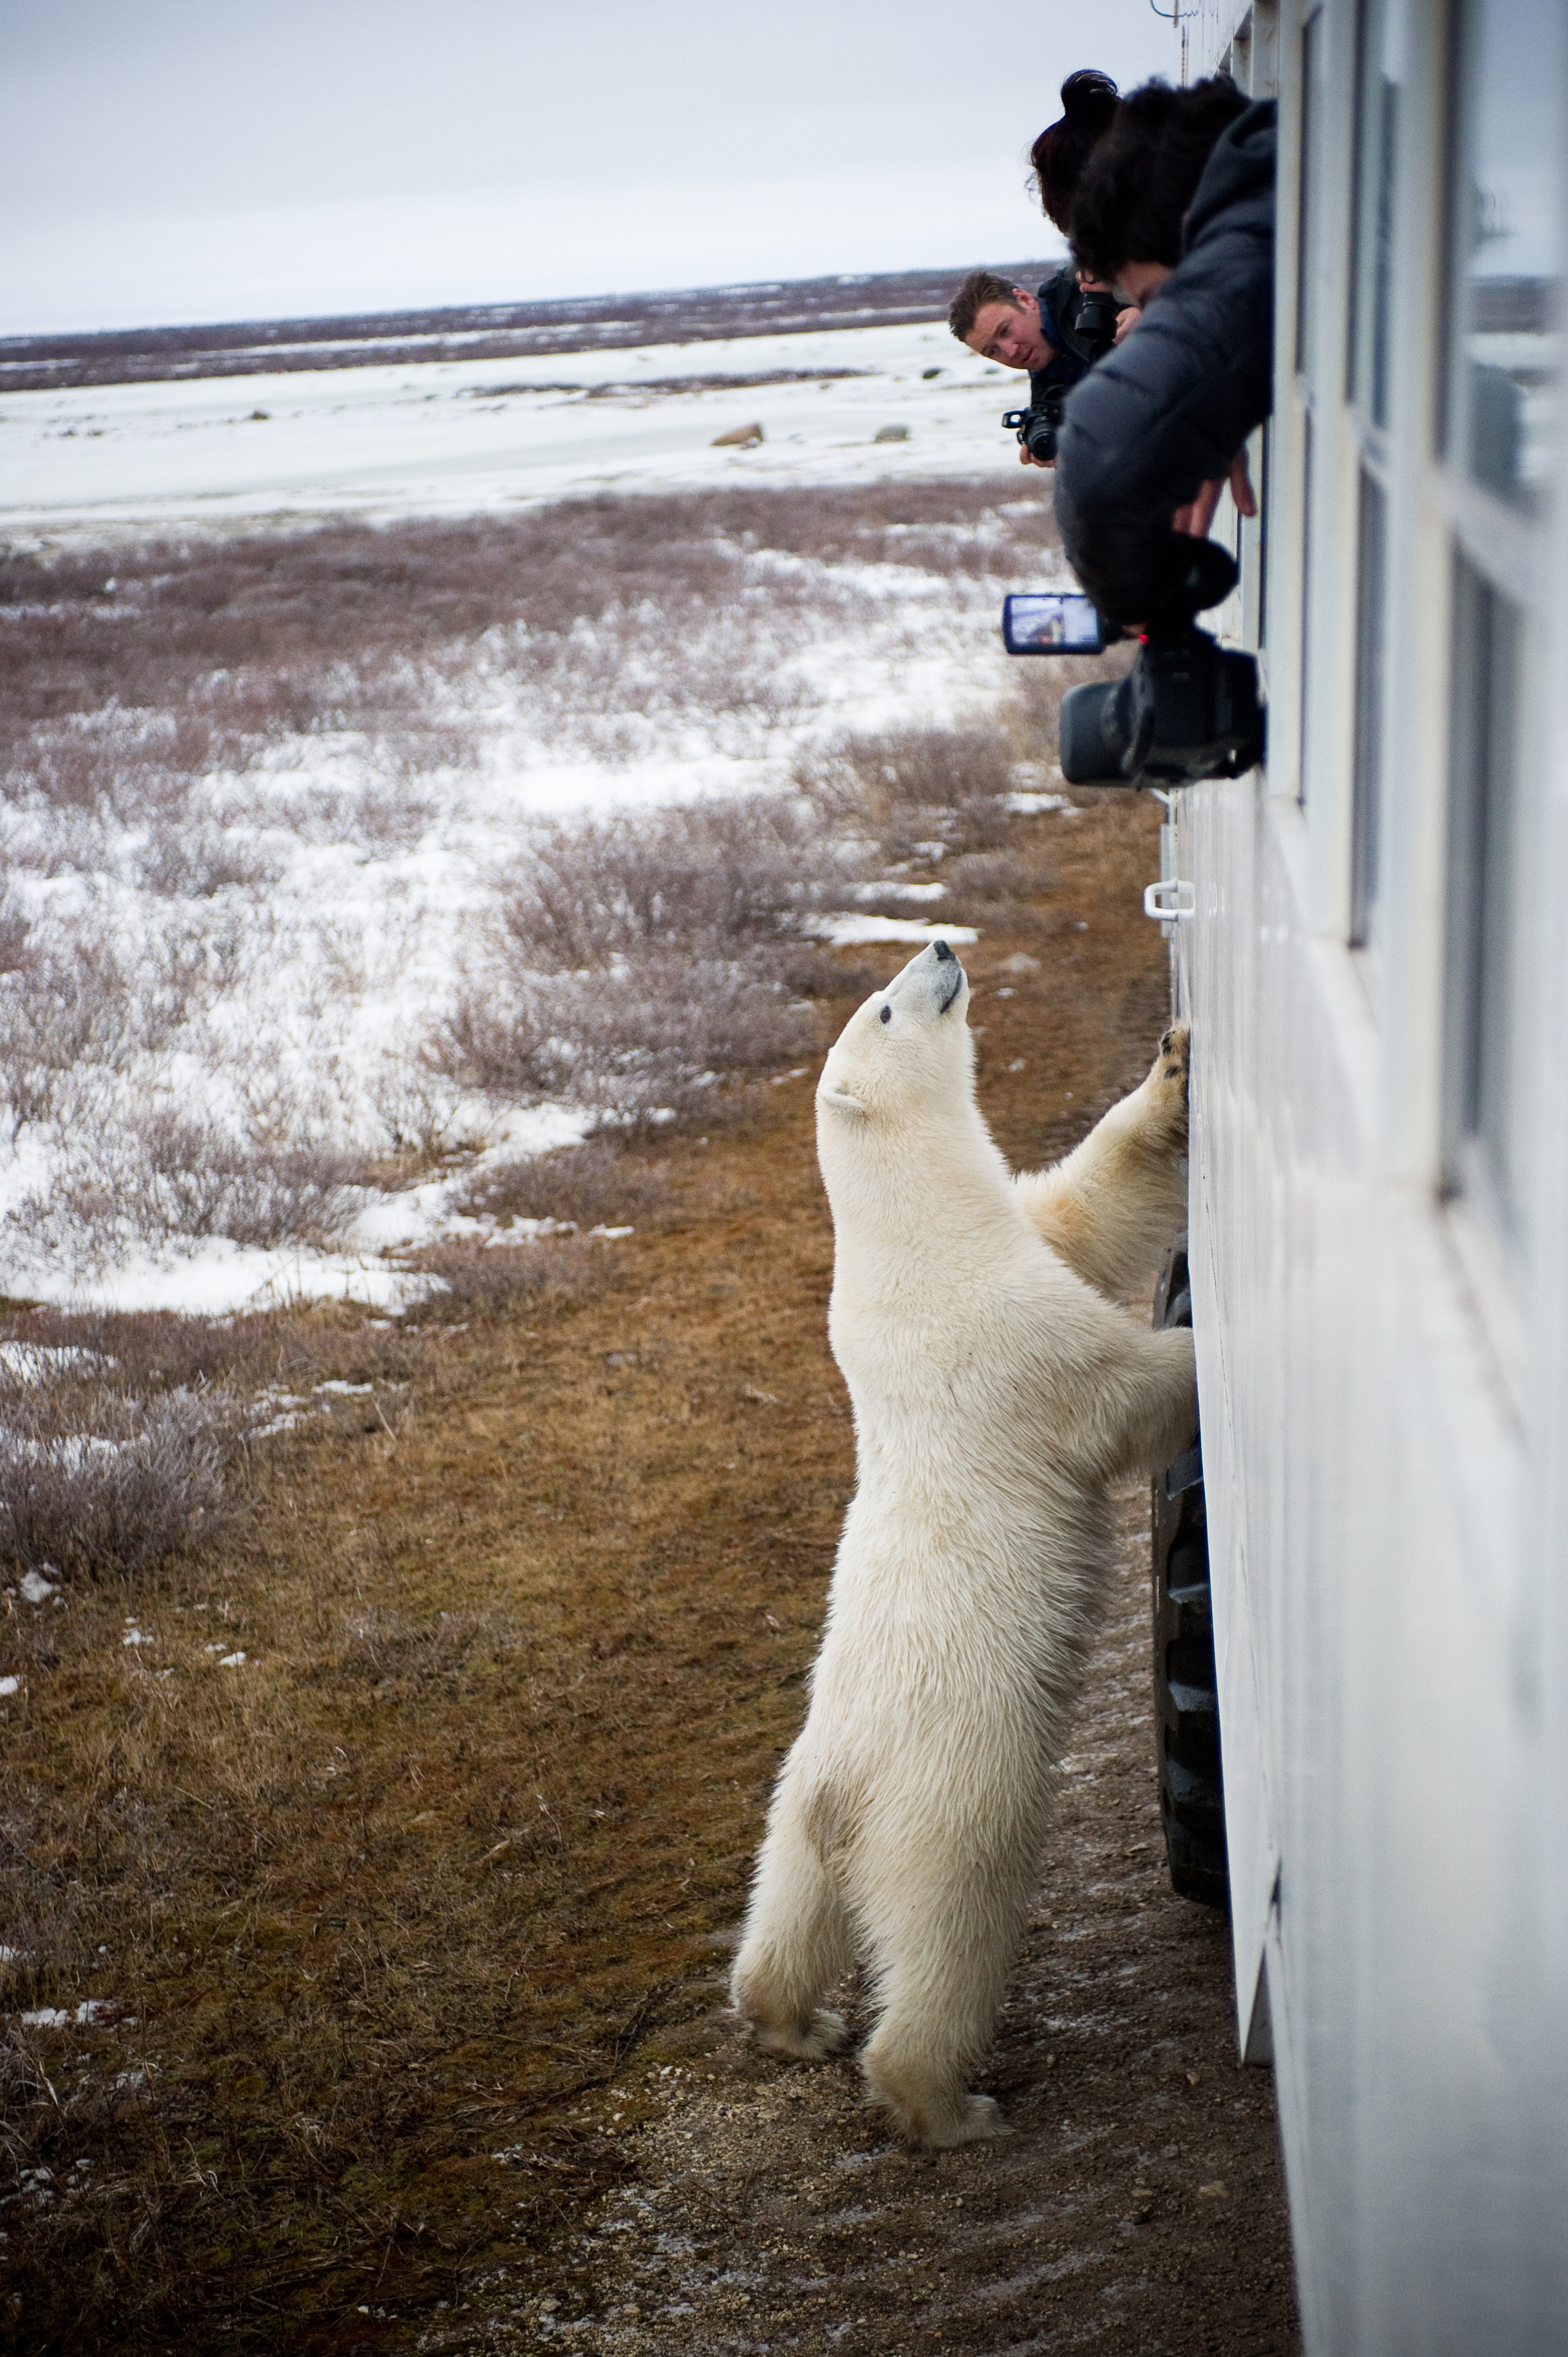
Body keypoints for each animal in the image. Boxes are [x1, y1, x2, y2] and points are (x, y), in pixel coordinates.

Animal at [730, 938, 1196, 2149]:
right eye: (886, 1007)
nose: (941, 944)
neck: (915, 1239)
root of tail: (845, 1796)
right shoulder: (992, 1331)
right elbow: (1110, 1390)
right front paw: (1200, 1344)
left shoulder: (1018, 1233)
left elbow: (1087, 1208)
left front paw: (1176, 1072)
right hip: (952, 1794)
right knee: (954, 1927)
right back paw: (949, 2102)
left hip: (794, 1807)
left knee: (785, 1914)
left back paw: (795, 2021)